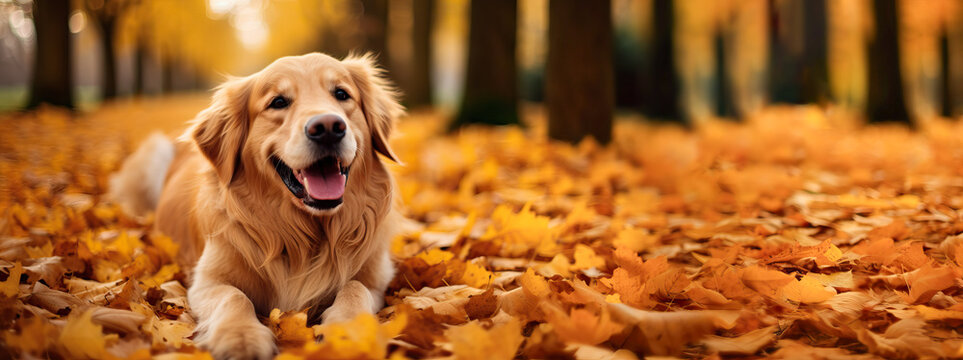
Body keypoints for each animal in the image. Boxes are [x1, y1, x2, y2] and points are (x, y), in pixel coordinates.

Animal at [108, 52, 402, 358]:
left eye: (342, 94)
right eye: (278, 102)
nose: (328, 128)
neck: (305, 237)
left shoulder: (377, 278)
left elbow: (356, 287)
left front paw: (348, 331)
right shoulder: (207, 281)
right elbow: (235, 297)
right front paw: (241, 337)